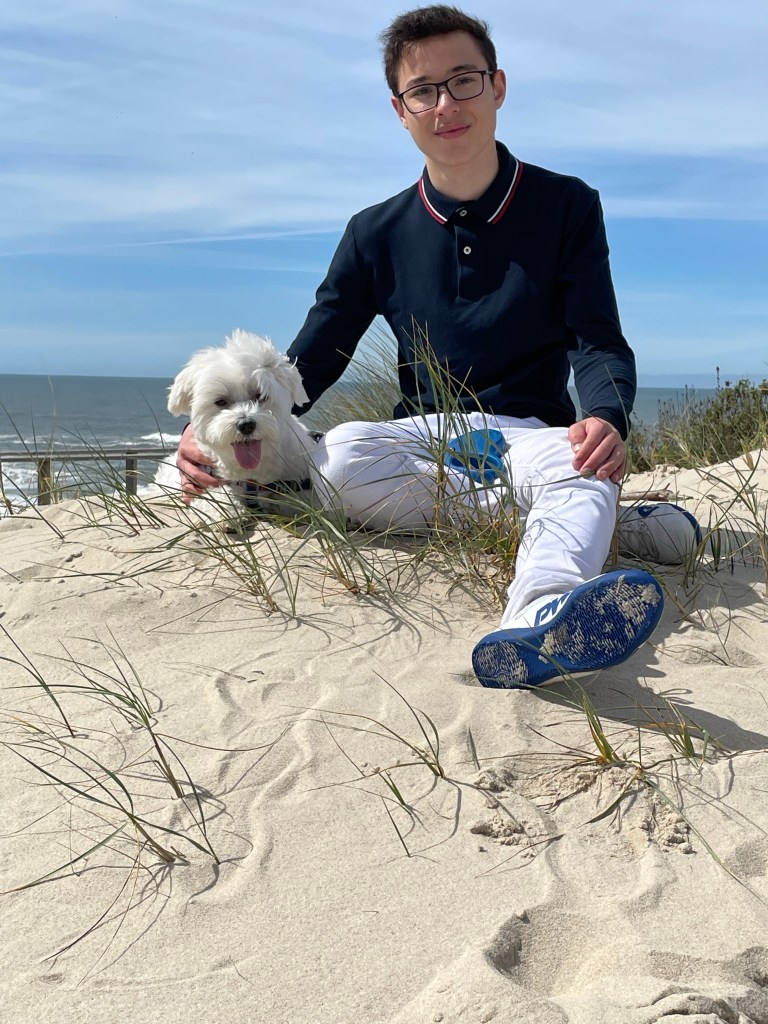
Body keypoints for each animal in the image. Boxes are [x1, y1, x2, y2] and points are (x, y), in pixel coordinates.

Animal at [157, 330, 318, 523]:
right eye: (220, 401)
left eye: (260, 396)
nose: (246, 425)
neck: (253, 477)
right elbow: (213, 498)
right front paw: (224, 512)